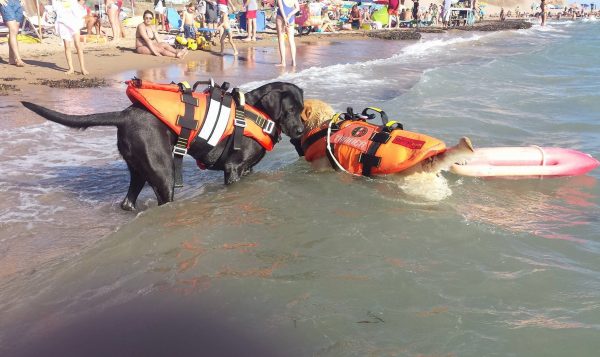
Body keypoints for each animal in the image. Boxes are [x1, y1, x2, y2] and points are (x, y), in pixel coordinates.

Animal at [22, 82, 304, 210]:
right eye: (290, 110)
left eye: (302, 109)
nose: (301, 130)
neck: (259, 113)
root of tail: (124, 115)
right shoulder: (233, 169)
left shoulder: (247, 170)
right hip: (163, 172)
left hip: (139, 169)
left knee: (128, 202)